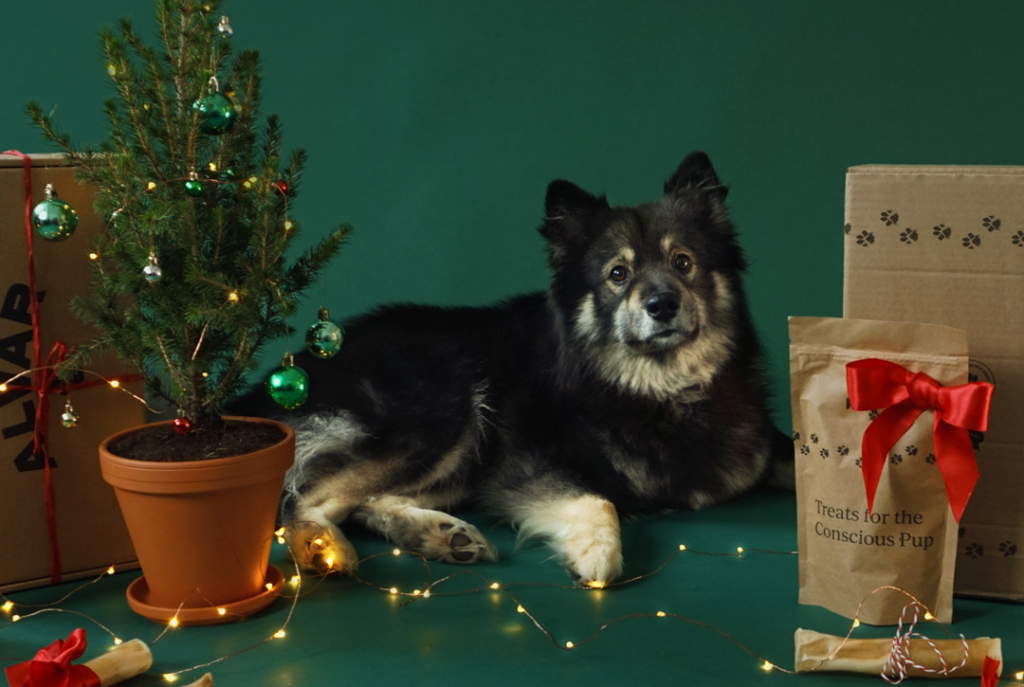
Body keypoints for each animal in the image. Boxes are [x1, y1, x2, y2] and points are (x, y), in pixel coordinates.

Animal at [243, 153, 786, 589]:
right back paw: (325, 550)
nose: (663, 305)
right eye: (618, 274)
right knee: (300, 499)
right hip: (445, 407)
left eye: (683, 262)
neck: (658, 388)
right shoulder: (525, 466)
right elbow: (598, 500)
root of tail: (277, 380)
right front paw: (598, 552)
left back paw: (440, 535)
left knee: (360, 500)